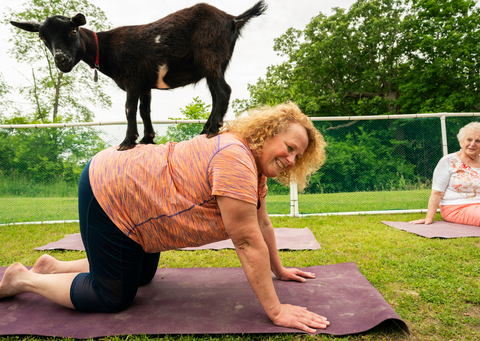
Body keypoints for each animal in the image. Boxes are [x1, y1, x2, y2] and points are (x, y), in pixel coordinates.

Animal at [11, 1, 268, 149]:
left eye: (73, 30)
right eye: (43, 37)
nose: (61, 60)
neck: (107, 48)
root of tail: (232, 19)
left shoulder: (132, 80)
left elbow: (128, 110)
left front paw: (126, 143)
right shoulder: (145, 84)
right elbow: (145, 110)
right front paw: (147, 138)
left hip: (209, 55)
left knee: (223, 91)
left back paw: (212, 130)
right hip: (216, 62)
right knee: (217, 93)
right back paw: (206, 128)